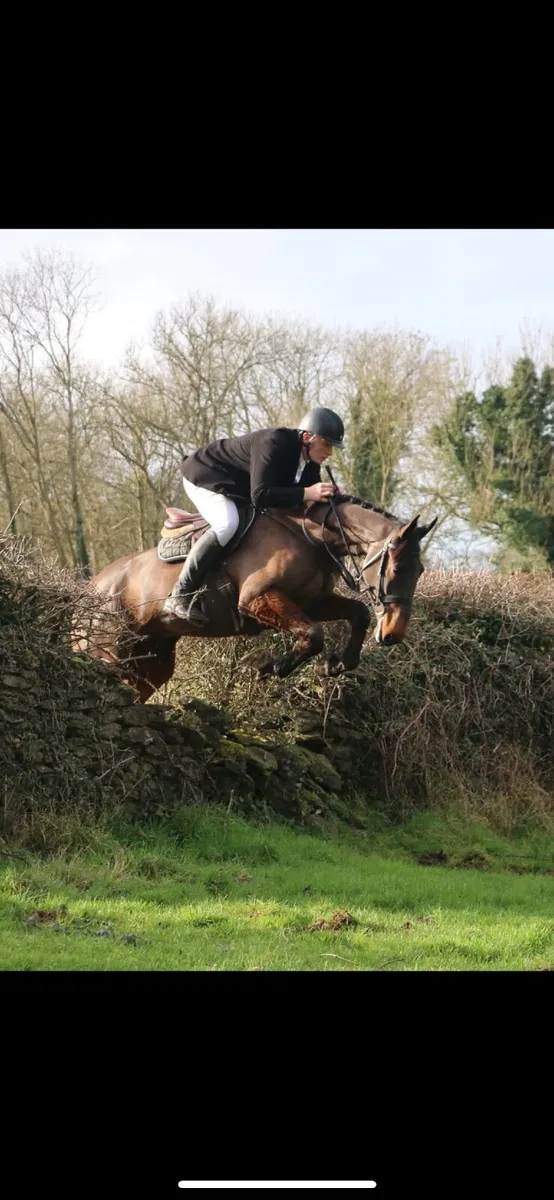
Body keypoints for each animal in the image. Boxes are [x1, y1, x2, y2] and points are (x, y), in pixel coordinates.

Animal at [74, 495, 437, 703]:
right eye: (399, 568)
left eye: (420, 571)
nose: (393, 634)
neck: (311, 534)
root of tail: (89, 590)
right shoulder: (256, 599)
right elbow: (314, 635)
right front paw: (274, 666)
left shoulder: (312, 603)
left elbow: (358, 613)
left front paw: (336, 664)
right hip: (108, 654)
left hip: (151, 660)